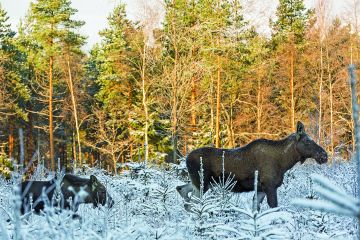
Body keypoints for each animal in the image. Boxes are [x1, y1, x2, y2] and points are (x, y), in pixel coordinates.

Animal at [181, 122, 328, 208]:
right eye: (308, 141)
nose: (324, 155)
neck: (284, 162)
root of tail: (186, 159)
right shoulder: (269, 185)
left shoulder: (261, 189)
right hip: (202, 183)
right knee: (192, 203)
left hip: (202, 183)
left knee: (181, 190)